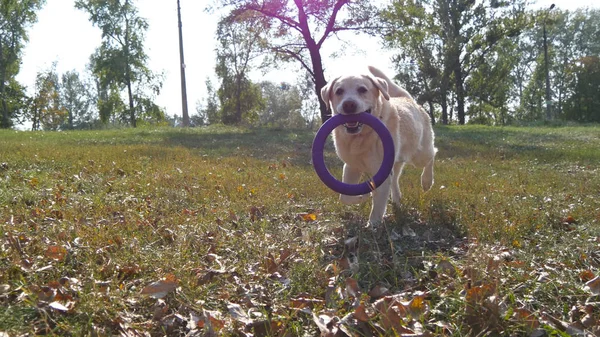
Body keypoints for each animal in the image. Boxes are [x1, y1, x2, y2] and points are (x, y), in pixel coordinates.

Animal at [322, 65, 434, 226]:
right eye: (339, 91)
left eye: (362, 89)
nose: (348, 104)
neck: (361, 137)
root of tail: (408, 99)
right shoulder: (351, 167)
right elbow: (345, 197)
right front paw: (364, 196)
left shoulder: (381, 172)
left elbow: (378, 205)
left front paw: (373, 224)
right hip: (397, 162)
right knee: (395, 180)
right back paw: (397, 200)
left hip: (419, 154)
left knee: (432, 156)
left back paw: (426, 181)